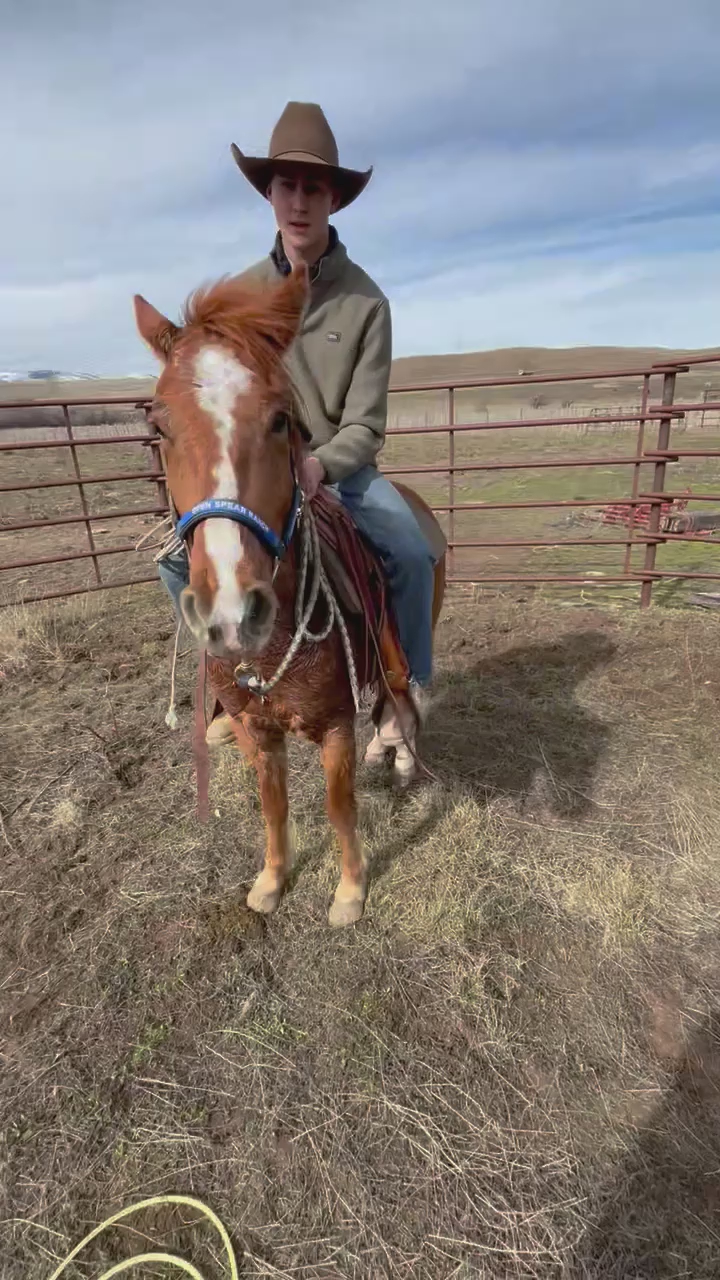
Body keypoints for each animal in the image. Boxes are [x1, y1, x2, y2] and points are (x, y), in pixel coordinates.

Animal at [133, 265, 446, 927]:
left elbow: (339, 806)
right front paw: (272, 882)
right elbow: (272, 806)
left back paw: (402, 753)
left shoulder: (333, 727)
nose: (233, 608)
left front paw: (350, 891)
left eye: (281, 420)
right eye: (159, 426)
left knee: (406, 697)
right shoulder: (259, 728)